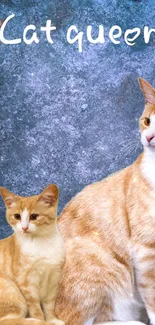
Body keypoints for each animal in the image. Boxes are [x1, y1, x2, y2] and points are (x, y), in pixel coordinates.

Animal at [0, 184, 65, 324]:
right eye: (17, 216)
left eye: (34, 216)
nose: (24, 228)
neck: (41, 242)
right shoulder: (27, 283)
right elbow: (36, 308)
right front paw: (42, 321)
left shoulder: (54, 278)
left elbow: (49, 304)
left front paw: (52, 319)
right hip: (12, 290)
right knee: (7, 320)